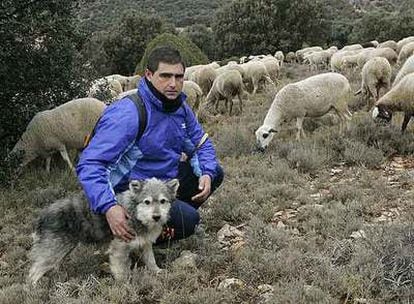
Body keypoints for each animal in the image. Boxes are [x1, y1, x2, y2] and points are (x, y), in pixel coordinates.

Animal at [27, 177, 178, 284]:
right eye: (147, 202)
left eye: (163, 201)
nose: (157, 217)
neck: (135, 213)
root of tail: (42, 214)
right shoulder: (119, 249)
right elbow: (122, 272)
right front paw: (125, 286)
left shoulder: (145, 244)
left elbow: (151, 260)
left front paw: (158, 272)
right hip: (53, 253)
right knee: (32, 274)